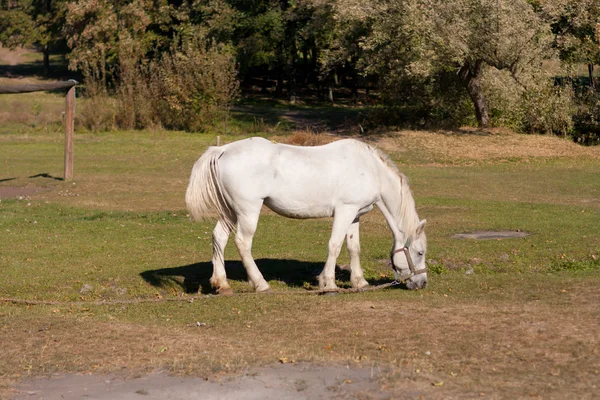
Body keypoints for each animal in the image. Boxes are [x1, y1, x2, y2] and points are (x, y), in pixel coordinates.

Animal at [186, 138, 426, 294]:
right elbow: (335, 245)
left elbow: (353, 248)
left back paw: (221, 284)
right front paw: (328, 284)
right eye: (420, 252)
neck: (370, 169)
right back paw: (261, 284)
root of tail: (223, 150)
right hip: (247, 211)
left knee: (219, 238)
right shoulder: (344, 211)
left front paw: (359, 282)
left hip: (229, 211)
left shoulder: (355, 214)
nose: (422, 283)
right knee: (243, 243)